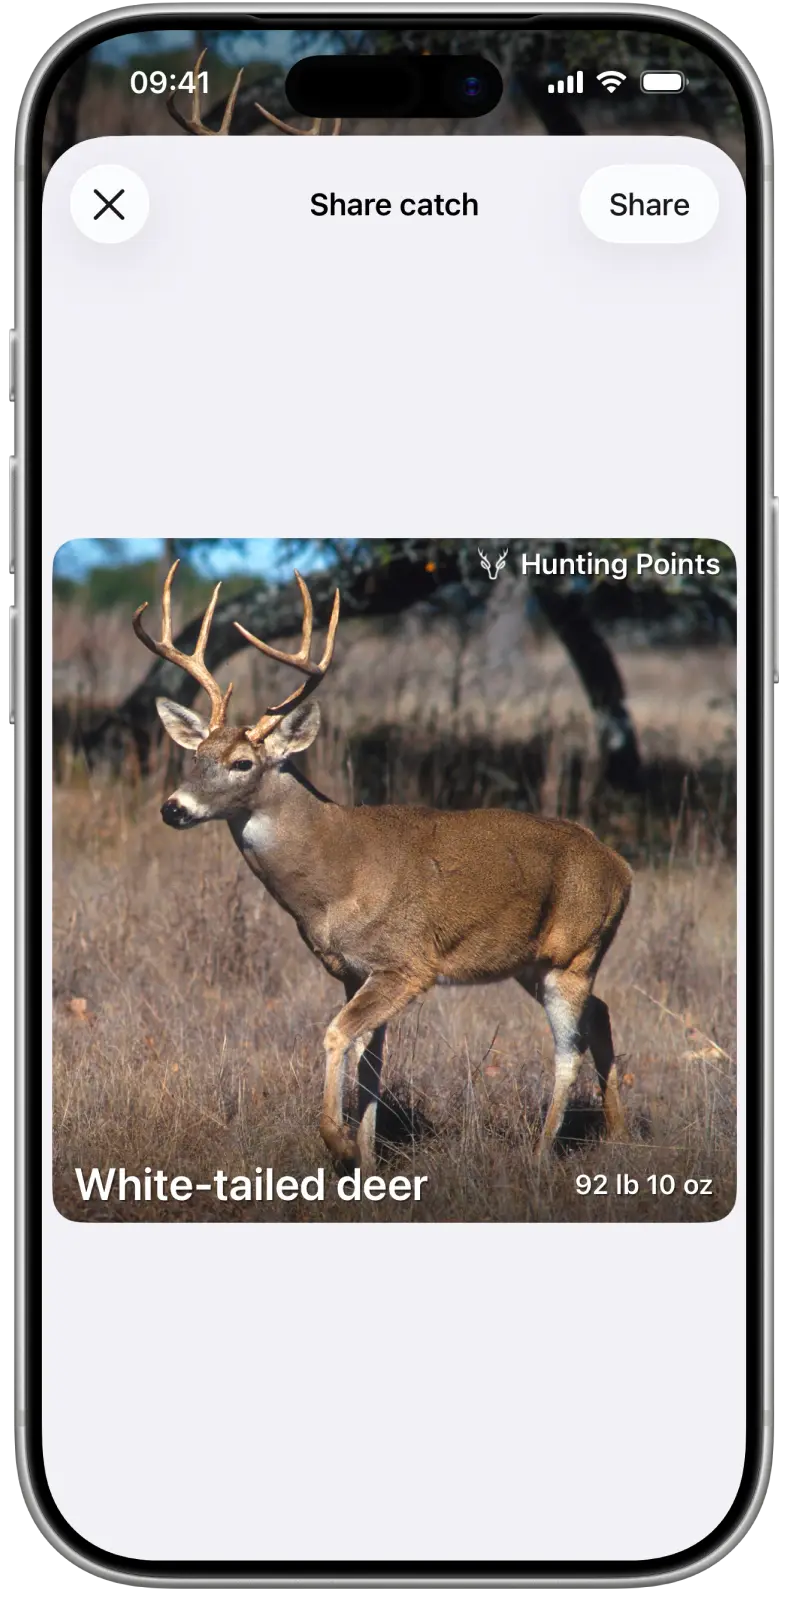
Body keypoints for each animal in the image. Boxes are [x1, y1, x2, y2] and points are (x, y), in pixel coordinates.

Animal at [133, 563, 633, 1174]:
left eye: (242, 762)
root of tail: (622, 867)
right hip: (535, 962)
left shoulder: (407, 963)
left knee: (569, 1048)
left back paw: (540, 1155)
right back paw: (617, 1134)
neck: (336, 877)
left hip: (574, 953)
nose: (173, 808)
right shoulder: (353, 970)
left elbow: (335, 1036)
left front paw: (340, 1142)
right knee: (601, 1015)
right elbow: (370, 1063)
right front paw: (368, 1160)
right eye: (195, 756)